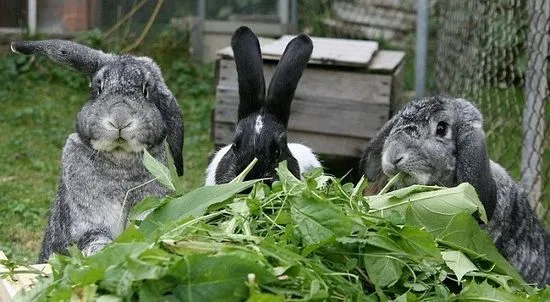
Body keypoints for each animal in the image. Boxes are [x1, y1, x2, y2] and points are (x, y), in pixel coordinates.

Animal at [10, 39, 185, 262]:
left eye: (146, 91)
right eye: (98, 88)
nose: (120, 119)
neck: (120, 155)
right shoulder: (87, 221)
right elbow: (94, 238)